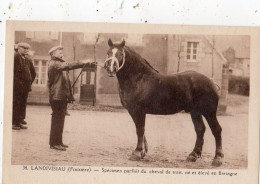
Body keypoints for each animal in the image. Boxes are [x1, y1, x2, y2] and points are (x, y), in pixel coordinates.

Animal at [103, 38, 223, 167]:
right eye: (108, 53)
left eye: (120, 54)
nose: (110, 68)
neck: (138, 78)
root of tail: (212, 83)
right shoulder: (133, 111)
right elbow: (141, 130)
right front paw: (143, 152)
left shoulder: (138, 111)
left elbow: (140, 130)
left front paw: (137, 153)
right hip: (195, 112)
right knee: (200, 129)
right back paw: (193, 155)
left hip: (209, 112)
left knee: (216, 130)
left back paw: (217, 159)